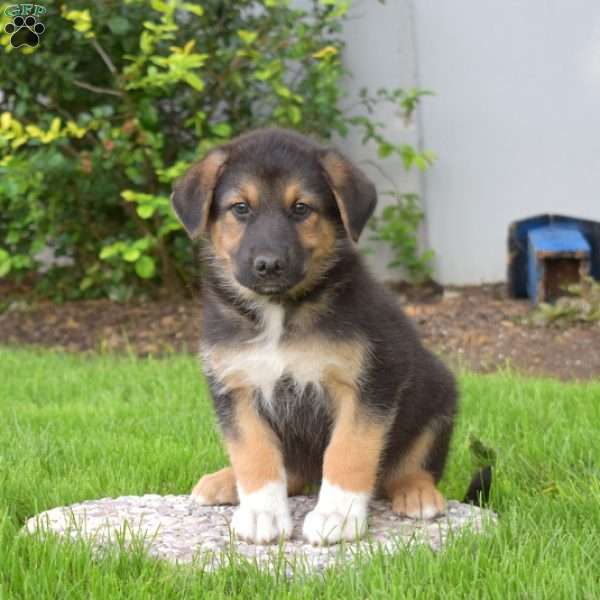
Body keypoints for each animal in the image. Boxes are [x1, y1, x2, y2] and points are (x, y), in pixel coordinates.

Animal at [171, 129, 458, 548]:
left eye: (301, 208)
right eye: (240, 208)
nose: (268, 264)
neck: (279, 313)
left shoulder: (371, 382)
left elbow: (349, 451)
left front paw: (338, 515)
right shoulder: (235, 387)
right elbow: (253, 453)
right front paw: (261, 513)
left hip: (438, 394)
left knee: (411, 465)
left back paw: (417, 492)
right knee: (293, 473)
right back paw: (226, 482)